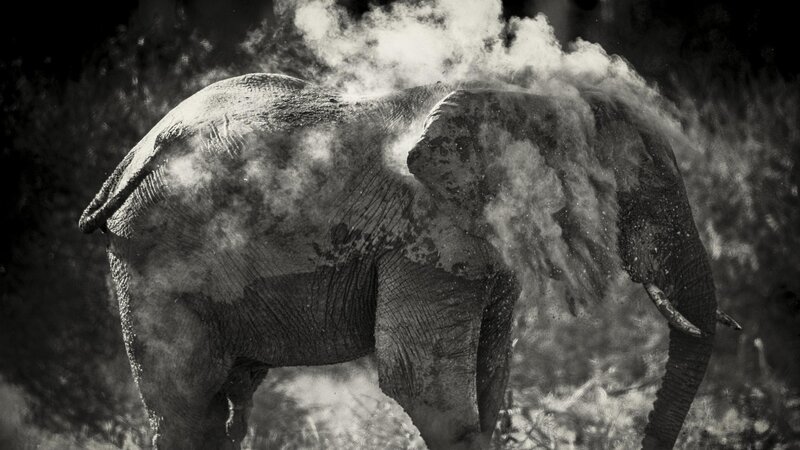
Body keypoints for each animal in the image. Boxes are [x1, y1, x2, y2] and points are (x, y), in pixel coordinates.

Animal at [80, 73, 741, 449]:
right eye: (643, 194)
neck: (524, 103)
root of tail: (131, 158)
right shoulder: (428, 232)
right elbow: (419, 380)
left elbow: (491, 373)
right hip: (152, 258)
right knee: (188, 408)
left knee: (227, 407)